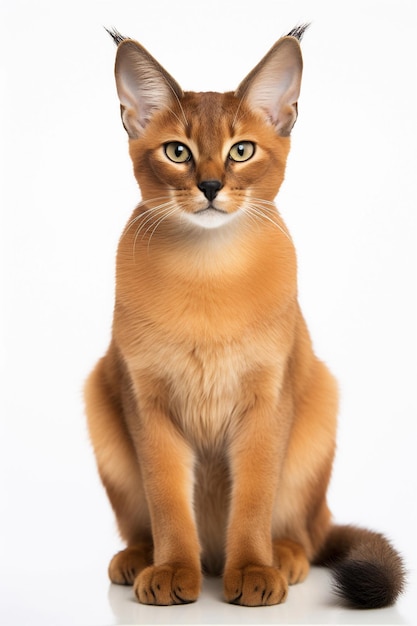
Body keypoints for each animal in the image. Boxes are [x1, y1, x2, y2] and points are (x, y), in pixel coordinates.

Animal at [83, 24, 404, 604]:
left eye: (242, 150)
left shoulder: (266, 401)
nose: (210, 187)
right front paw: (172, 570)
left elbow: (254, 495)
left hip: (320, 401)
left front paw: (254, 569)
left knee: (309, 531)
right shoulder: (148, 403)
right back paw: (141, 559)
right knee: (147, 522)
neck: (209, 270)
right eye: (177, 151)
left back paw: (284, 558)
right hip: (100, 398)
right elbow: (167, 499)